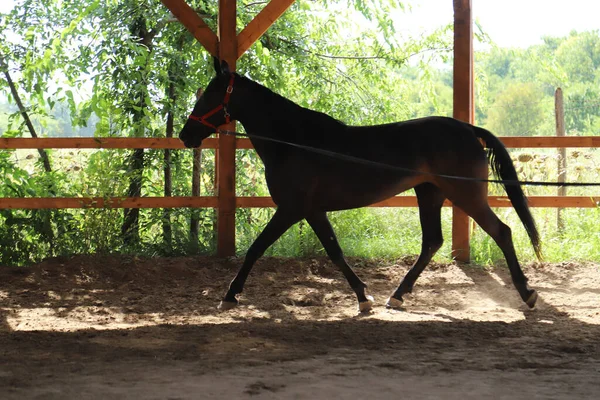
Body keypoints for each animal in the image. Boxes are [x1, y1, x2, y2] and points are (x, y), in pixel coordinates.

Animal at [180, 59, 540, 312]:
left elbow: (257, 248)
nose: (186, 135)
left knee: (501, 232)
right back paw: (397, 296)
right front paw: (363, 297)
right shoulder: (312, 210)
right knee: (432, 242)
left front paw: (229, 295)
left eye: (210, 93)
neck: (294, 141)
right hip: (430, 193)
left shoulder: (292, 208)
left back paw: (528, 294)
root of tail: (467, 129)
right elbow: (334, 252)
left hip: (463, 193)